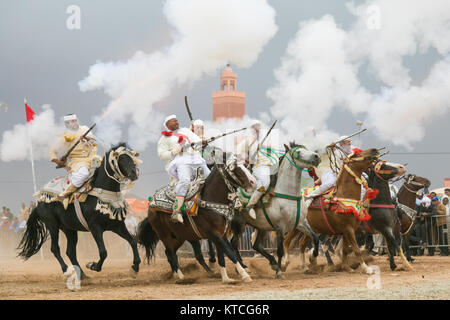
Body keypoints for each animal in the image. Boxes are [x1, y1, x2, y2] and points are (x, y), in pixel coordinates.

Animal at [17, 144, 142, 278]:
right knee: (55, 249)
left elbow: (133, 241)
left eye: (131, 158)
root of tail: (38, 203)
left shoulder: (117, 226)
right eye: (121, 159)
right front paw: (93, 266)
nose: (134, 174)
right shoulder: (95, 227)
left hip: (69, 229)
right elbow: (103, 252)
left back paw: (82, 274)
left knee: (70, 252)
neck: (103, 194)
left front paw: (135, 266)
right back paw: (67, 270)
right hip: (52, 226)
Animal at [137, 152, 256, 282]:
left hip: (181, 236)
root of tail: (150, 206)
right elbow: (229, 253)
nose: (253, 182)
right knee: (171, 253)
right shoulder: (214, 234)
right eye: (233, 167)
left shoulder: (221, 234)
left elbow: (222, 255)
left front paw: (226, 278)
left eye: (245, 164)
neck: (210, 199)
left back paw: (194, 273)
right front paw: (244, 274)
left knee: (179, 254)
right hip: (165, 235)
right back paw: (181, 277)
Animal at [230, 144, 322, 278]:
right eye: (298, 152)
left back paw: (269, 263)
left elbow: (315, 237)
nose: (316, 156)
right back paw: (243, 268)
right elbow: (280, 250)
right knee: (233, 245)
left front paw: (313, 257)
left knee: (256, 245)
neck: (288, 196)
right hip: (239, 225)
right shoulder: (280, 228)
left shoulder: (300, 224)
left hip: (262, 227)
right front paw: (279, 271)